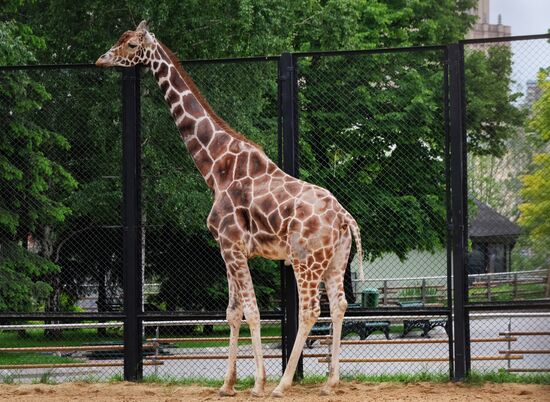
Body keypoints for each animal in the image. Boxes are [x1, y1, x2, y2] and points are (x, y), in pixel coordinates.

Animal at [98, 21, 366, 396]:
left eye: (132, 44)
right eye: (120, 40)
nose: (101, 59)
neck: (215, 166)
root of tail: (344, 217)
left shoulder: (233, 246)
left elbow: (251, 311)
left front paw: (258, 383)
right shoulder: (226, 248)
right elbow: (232, 312)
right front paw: (227, 384)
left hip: (305, 260)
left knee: (310, 310)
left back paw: (283, 384)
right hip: (335, 260)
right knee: (340, 305)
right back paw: (330, 381)